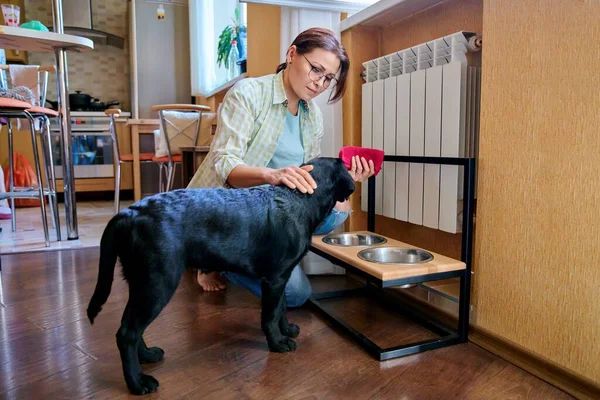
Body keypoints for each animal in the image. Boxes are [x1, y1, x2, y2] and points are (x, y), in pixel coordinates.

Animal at [86, 155, 354, 394]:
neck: (299, 198)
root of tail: (128, 213)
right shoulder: (274, 278)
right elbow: (270, 315)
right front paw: (277, 343)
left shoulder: (281, 277)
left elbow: (282, 308)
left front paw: (286, 330)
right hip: (158, 282)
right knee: (127, 333)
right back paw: (138, 383)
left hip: (141, 282)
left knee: (131, 326)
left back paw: (147, 355)